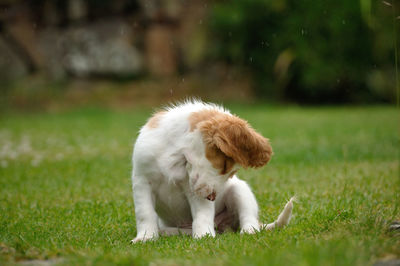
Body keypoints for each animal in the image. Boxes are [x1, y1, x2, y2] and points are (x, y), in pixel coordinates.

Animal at [133, 100, 292, 243]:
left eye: (232, 173)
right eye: (225, 165)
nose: (212, 198)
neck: (176, 155)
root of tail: (222, 227)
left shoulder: (194, 188)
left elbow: (202, 215)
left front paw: (204, 236)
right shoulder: (142, 181)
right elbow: (145, 213)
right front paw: (146, 237)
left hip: (240, 191)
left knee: (248, 217)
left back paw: (249, 231)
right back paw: (166, 232)